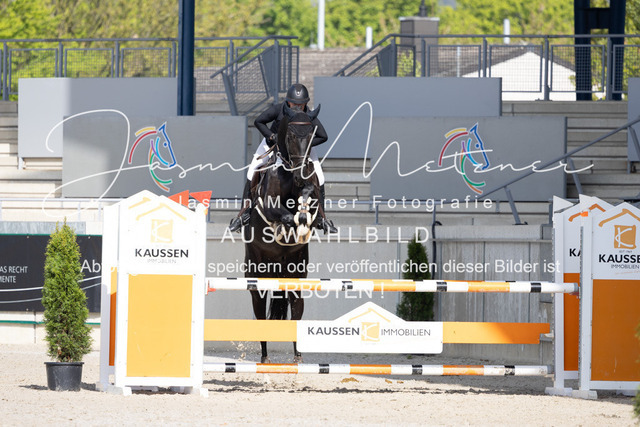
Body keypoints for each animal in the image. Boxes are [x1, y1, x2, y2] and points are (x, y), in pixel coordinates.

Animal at [244, 103, 321, 363]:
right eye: (290, 137)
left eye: (312, 137)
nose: (301, 174)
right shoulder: (269, 205)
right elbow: (283, 215)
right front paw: (291, 224)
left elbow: (309, 198)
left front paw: (304, 218)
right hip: (256, 275)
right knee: (260, 312)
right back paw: (265, 358)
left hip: (294, 275)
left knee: (296, 309)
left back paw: (298, 357)